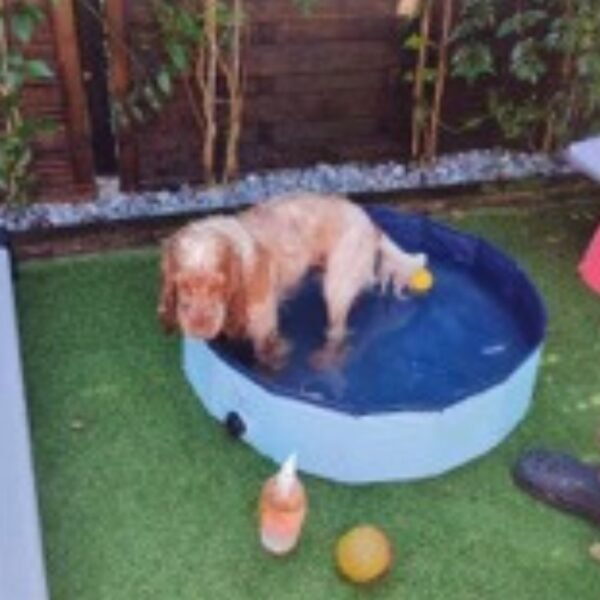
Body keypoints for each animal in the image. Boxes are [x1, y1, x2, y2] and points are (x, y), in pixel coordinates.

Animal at [157, 195, 424, 368]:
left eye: (218, 286)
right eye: (183, 285)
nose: (198, 330)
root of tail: (371, 223)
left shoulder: (266, 325)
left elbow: (267, 357)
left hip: (335, 288)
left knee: (337, 333)